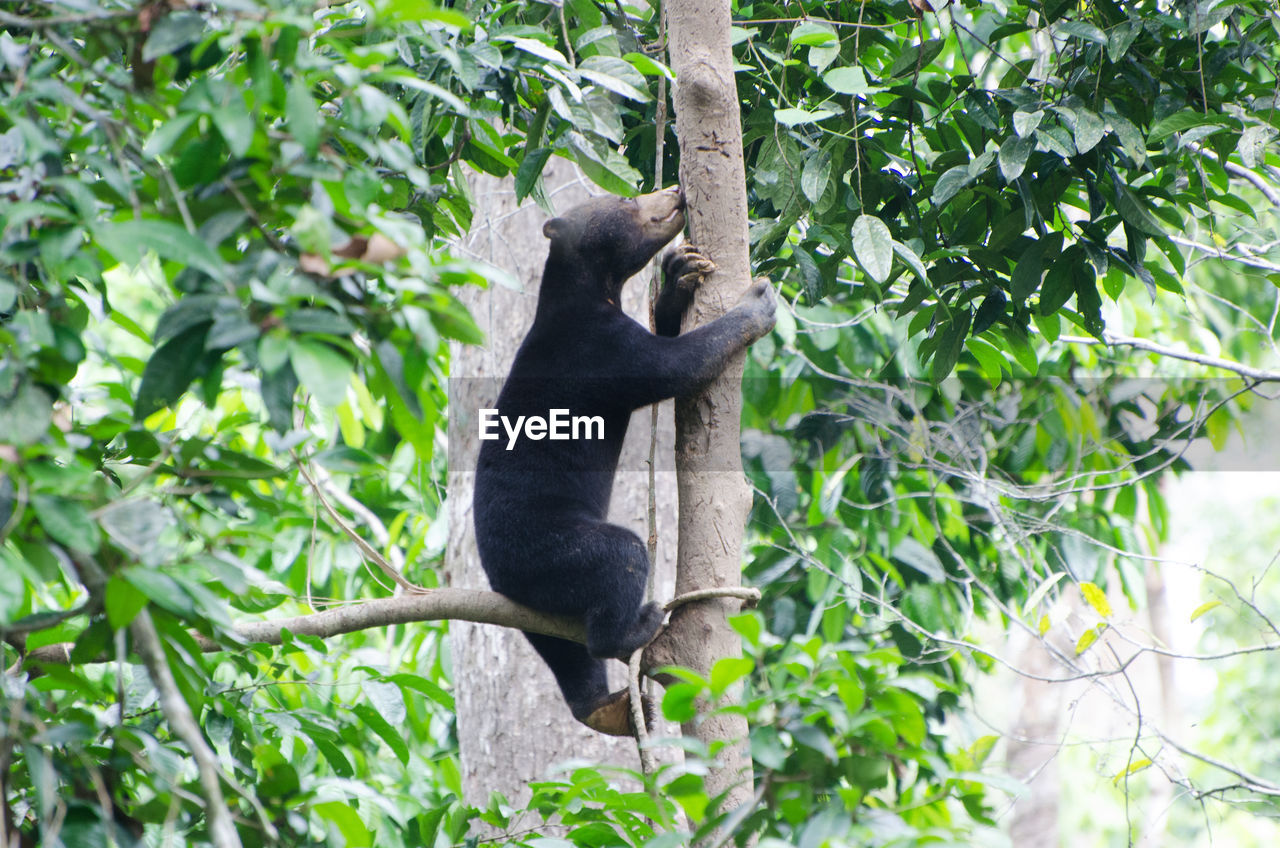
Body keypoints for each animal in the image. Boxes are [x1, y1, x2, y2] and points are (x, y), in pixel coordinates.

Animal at [471, 185, 768, 737]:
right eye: (627, 200)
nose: (674, 190)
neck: (590, 291)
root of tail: (500, 575)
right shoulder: (601, 349)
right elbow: (675, 365)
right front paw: (756, 305)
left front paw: (681, 272)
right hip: (551, 547)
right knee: (620, 559)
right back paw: (639, 627)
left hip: (536, 600)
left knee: (563, 651)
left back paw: (603, 709)